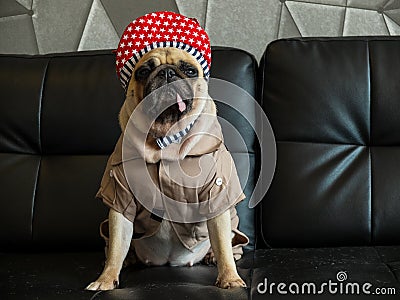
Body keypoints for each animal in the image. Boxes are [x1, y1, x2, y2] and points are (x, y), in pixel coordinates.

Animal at [85, 11, 247, 290]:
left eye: (190, 70)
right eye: (144, 71)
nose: (168, 73)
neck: (167, 140)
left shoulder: (216, 194)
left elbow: (223, 244)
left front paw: (230, 278)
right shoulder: (120, 199)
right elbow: (116, 246)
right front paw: (105, 279)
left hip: (232, 217)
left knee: (231, 242)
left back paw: (212, 257)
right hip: (107, 225)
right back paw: (128, 260)